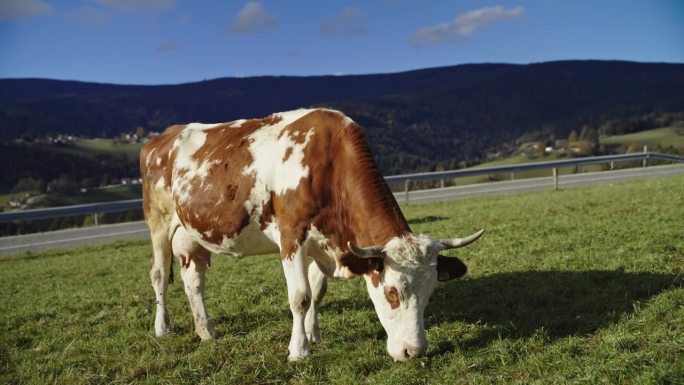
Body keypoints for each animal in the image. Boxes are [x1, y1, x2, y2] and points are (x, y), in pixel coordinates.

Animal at [139, 107, 484, 360]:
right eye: (391, 293)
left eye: (431, 291)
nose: (414, 351)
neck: (328, 161)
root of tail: (162, 137)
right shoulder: (292, 236)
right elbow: (300, 297)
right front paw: (298, 350)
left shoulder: (322, 242)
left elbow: (317, 291)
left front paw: (313, 334)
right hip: (158, 224)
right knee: (159, 274)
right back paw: (163, 328)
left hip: (192, 235)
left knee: (193, 282)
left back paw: (206, 331)